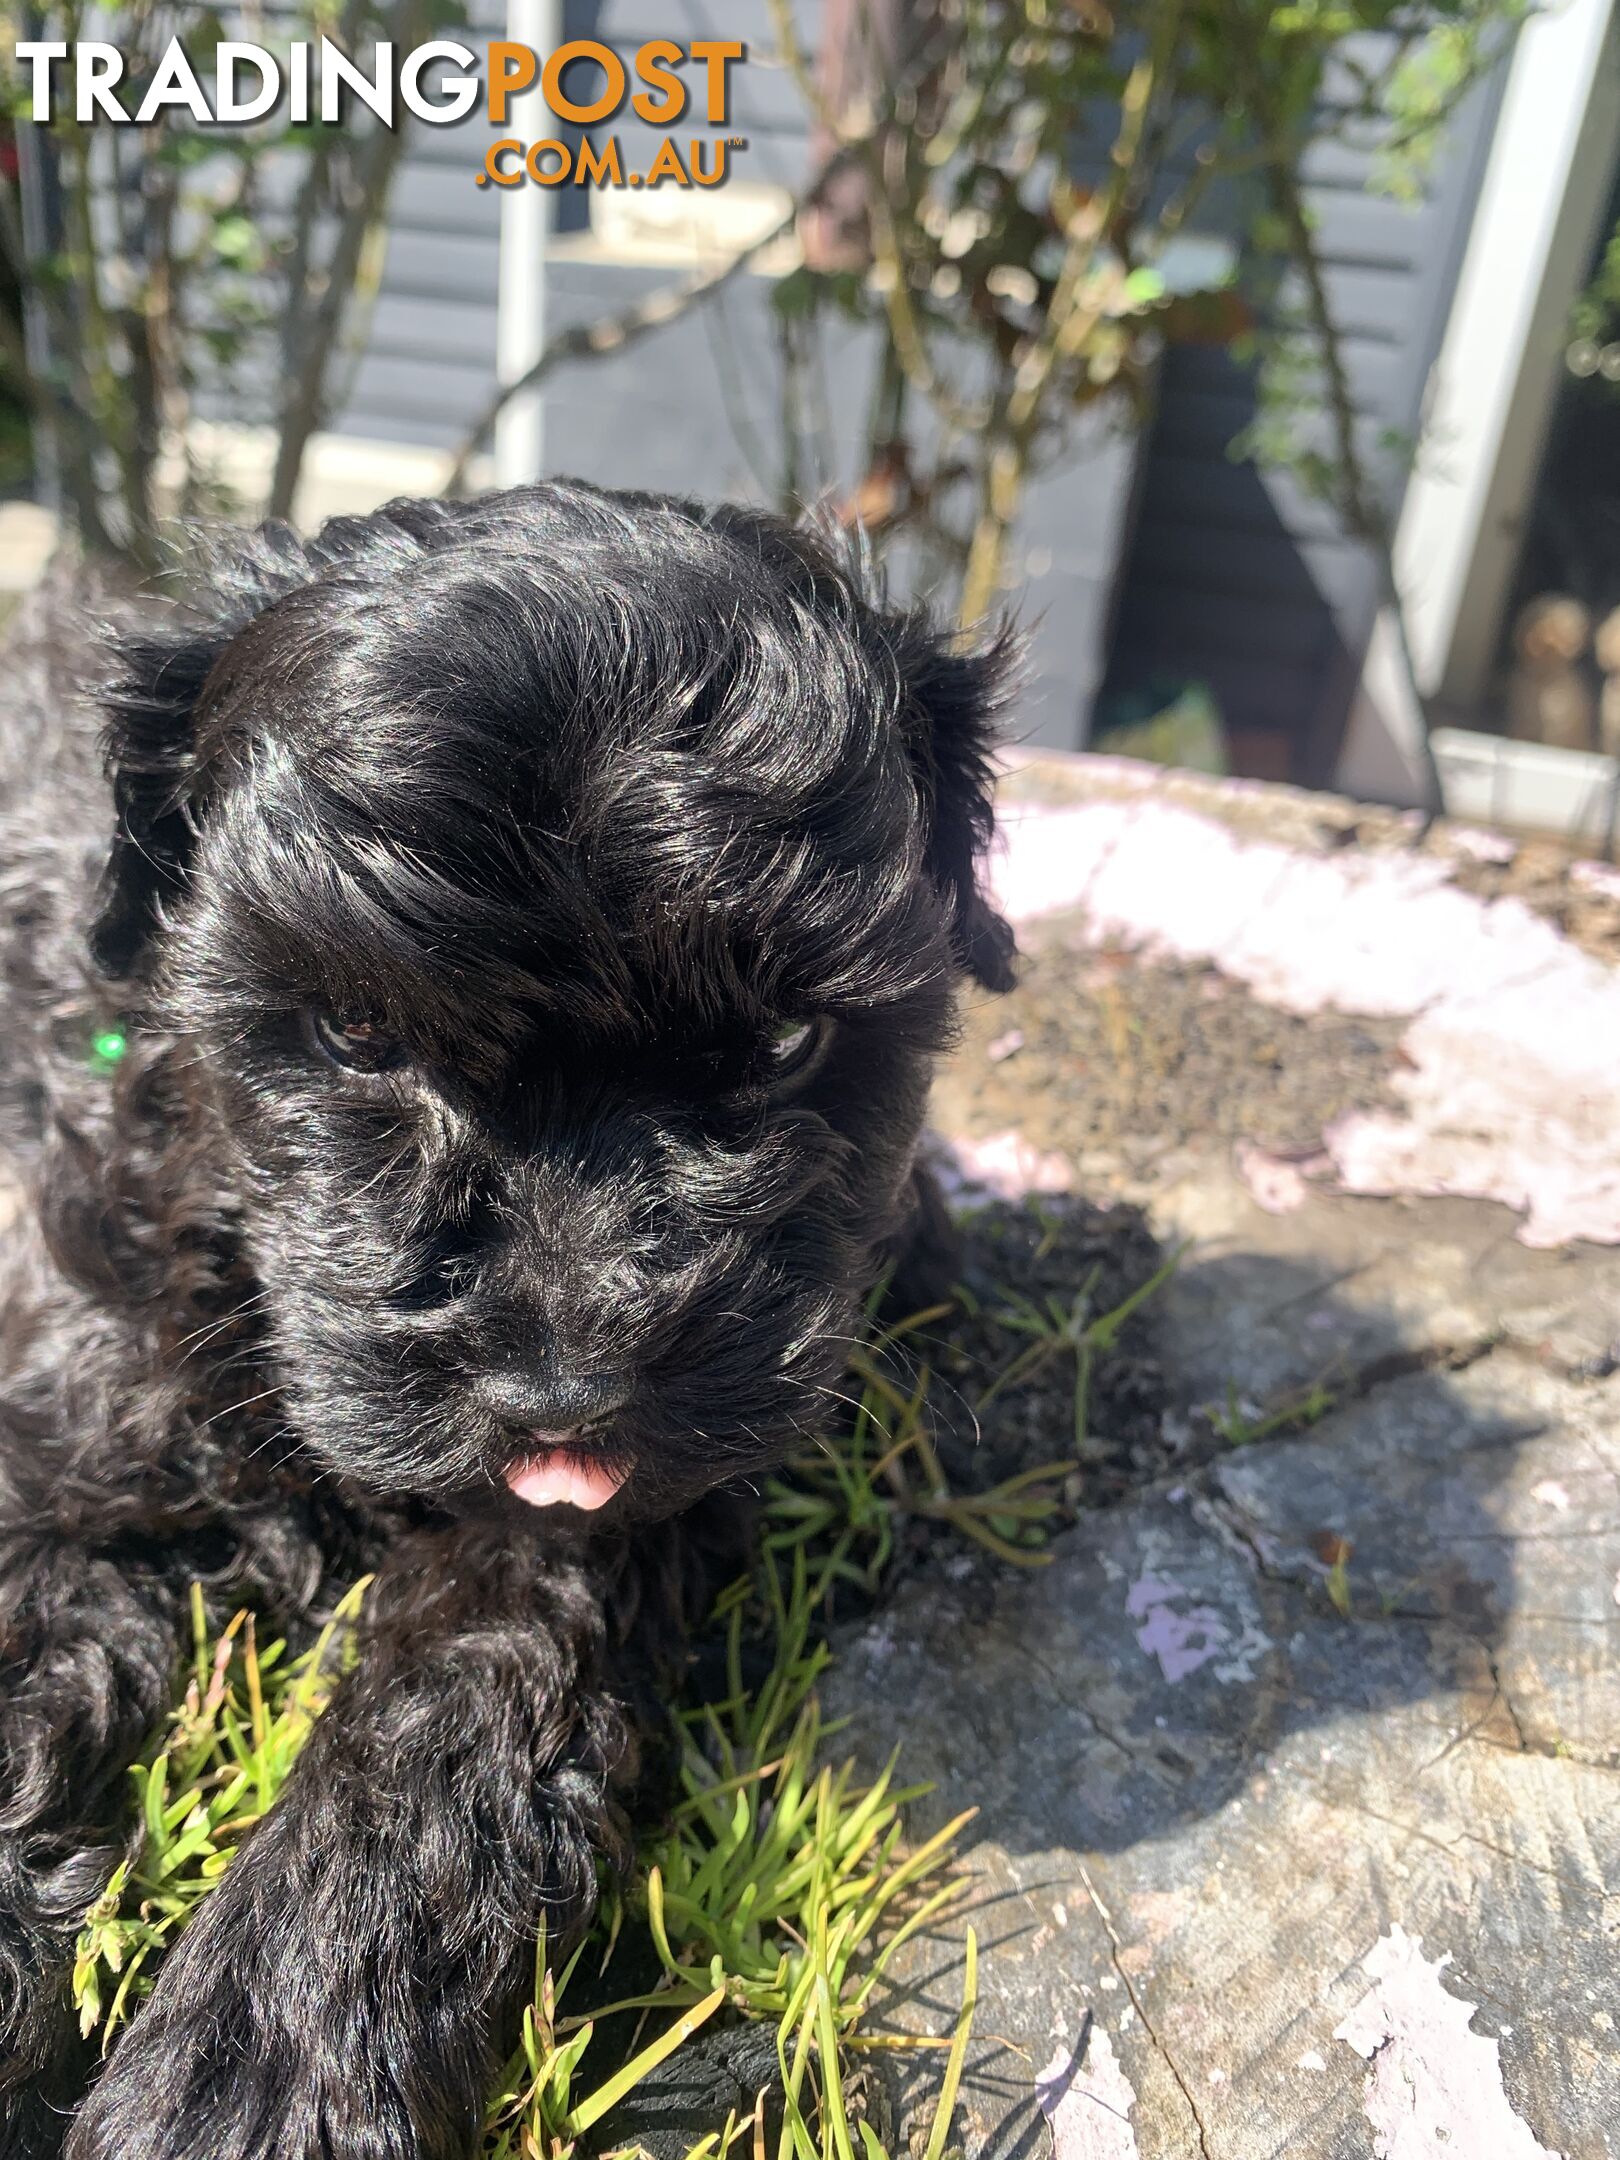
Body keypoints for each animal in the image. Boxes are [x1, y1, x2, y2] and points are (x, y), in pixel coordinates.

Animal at [0, 481, 1015, 2151]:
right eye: (354, 1032)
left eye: (790, 1041)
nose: (565, 1392)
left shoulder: (595, 1525)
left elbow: (454, 1705)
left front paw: (260, 2063)